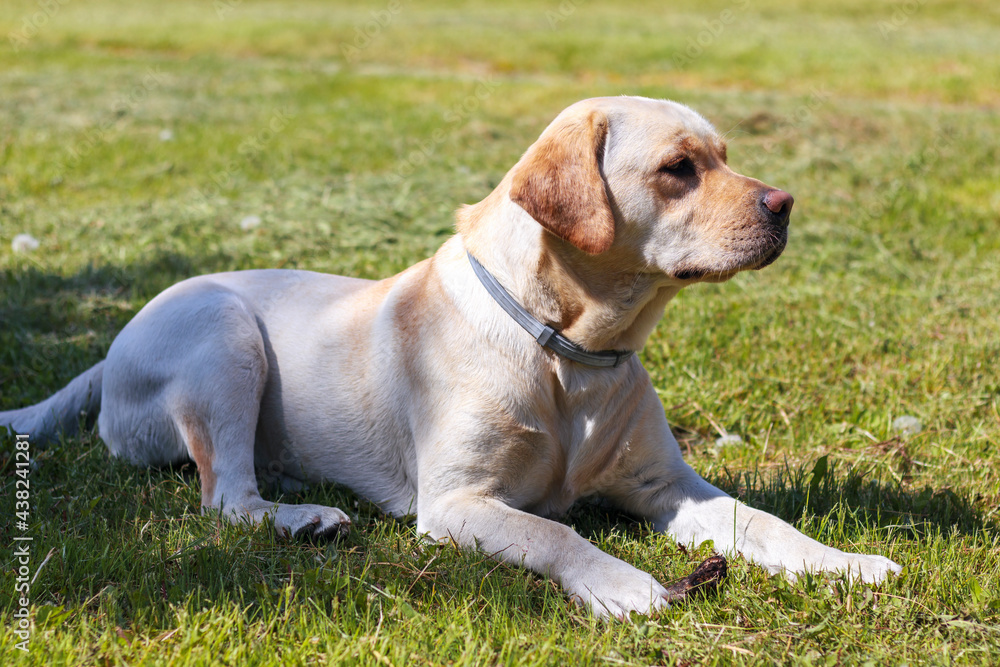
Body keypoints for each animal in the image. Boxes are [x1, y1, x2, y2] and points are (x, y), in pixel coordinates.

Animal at [3, 95, 900, 620]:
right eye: (679, 168)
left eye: (725, 154)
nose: (786, 204)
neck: (569, 350)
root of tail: (111, 347)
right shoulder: (460, 501)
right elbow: (554, 534)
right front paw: (620, 582)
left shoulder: (669, 487)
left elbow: (766, 522)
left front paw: (845, 562)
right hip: (226, 334)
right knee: (225, 496)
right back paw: (306, 517)